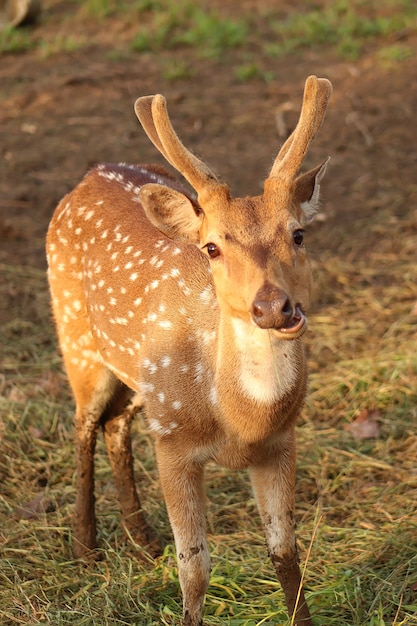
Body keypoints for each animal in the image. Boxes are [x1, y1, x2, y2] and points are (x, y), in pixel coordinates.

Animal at [46, 74, 332, 624]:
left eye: (299, 234)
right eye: (212, 247)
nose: (273, 307)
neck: (238, 419)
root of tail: (88, 176)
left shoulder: (281, 442)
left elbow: (286, 554)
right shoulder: (174, 447)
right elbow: (195, 571)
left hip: (141, 380)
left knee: (115, 423)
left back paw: (143, 540)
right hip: (75, 337)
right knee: (84, 422)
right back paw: (85, 547)